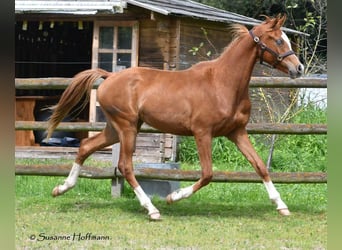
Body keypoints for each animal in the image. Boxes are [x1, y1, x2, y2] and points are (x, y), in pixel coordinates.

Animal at [46, 14, 304, 220]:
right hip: (126, 127)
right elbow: (208, 174)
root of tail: (109, 77)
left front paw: (281, 206)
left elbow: (260, 166)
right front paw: (174, 196)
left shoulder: (236, 132)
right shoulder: (202, 133)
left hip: (117, 128)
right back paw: (152, 209)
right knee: (125, 166)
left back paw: (61, 188)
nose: (299, 68)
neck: (223, 83)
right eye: (278, 40)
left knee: (86, 146)